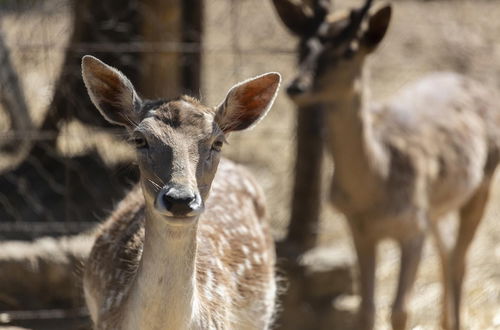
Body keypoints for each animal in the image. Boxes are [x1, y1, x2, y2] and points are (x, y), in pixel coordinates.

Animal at [280, 0, 498, 330]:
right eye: (303, 45)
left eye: (350, 49)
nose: (296, 87)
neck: (376, 186)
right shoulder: (359, 228)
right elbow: (366, 309)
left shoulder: (413, 227)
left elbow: (400, 310)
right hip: (436, 208)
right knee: (447, 250)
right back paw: (444, 321)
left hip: (483, 182)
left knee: (460, 259)